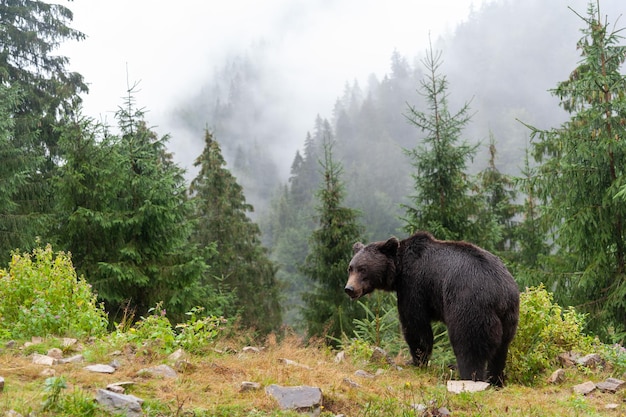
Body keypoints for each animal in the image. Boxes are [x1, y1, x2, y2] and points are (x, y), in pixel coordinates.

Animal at [344, 229, 520, 386]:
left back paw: (468, 376)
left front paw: (416, 361)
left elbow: (415, 325)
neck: (399, 269)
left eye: (363, 269)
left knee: (469, 345)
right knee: (500, 351)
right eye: (350, 268)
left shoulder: (414, 285)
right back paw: (496, 380)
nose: (349, 289)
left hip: (469, 306)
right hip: (508, 318)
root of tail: (501, 294)